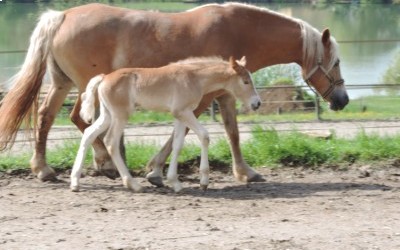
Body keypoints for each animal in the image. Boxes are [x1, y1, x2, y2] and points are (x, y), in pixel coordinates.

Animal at [70, 56, 260, 192]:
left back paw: (75, 182)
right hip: (120, 116)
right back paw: (133, 184)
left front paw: (174, 182)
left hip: (107, 115)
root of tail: (104, 77)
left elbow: (177, 144)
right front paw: (204, 181)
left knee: (89, 133)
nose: (257, 103)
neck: (194, 77)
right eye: (245, 81)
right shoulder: (183, 112)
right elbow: (204, 136)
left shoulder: (180, 115)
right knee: (110, 142)